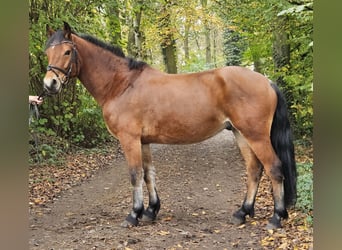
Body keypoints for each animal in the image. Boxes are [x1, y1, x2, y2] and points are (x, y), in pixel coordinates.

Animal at [42, 22, 296, 229]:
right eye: (47, 52)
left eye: (67, 51)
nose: (49, 84)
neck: (122, 85)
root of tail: (266, 81)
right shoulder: (143, 141)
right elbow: (148, 174)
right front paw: (151, 210)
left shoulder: (129, 139)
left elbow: (135, 174)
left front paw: (133, 215)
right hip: (241, 134)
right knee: (254, 169)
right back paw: (242, 212)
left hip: (256, 136)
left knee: (274, 168)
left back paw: (276, 217)